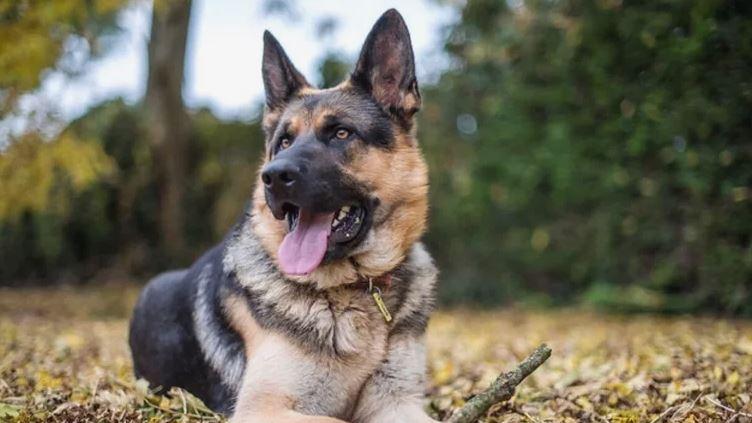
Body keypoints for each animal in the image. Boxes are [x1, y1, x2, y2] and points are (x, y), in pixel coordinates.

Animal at [127, 9, 438, 423]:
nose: (273, 176)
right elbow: (338, 421)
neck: (355, 287)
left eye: (341, 133)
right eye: (284, 142)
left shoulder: (398, 401)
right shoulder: (264, 407)